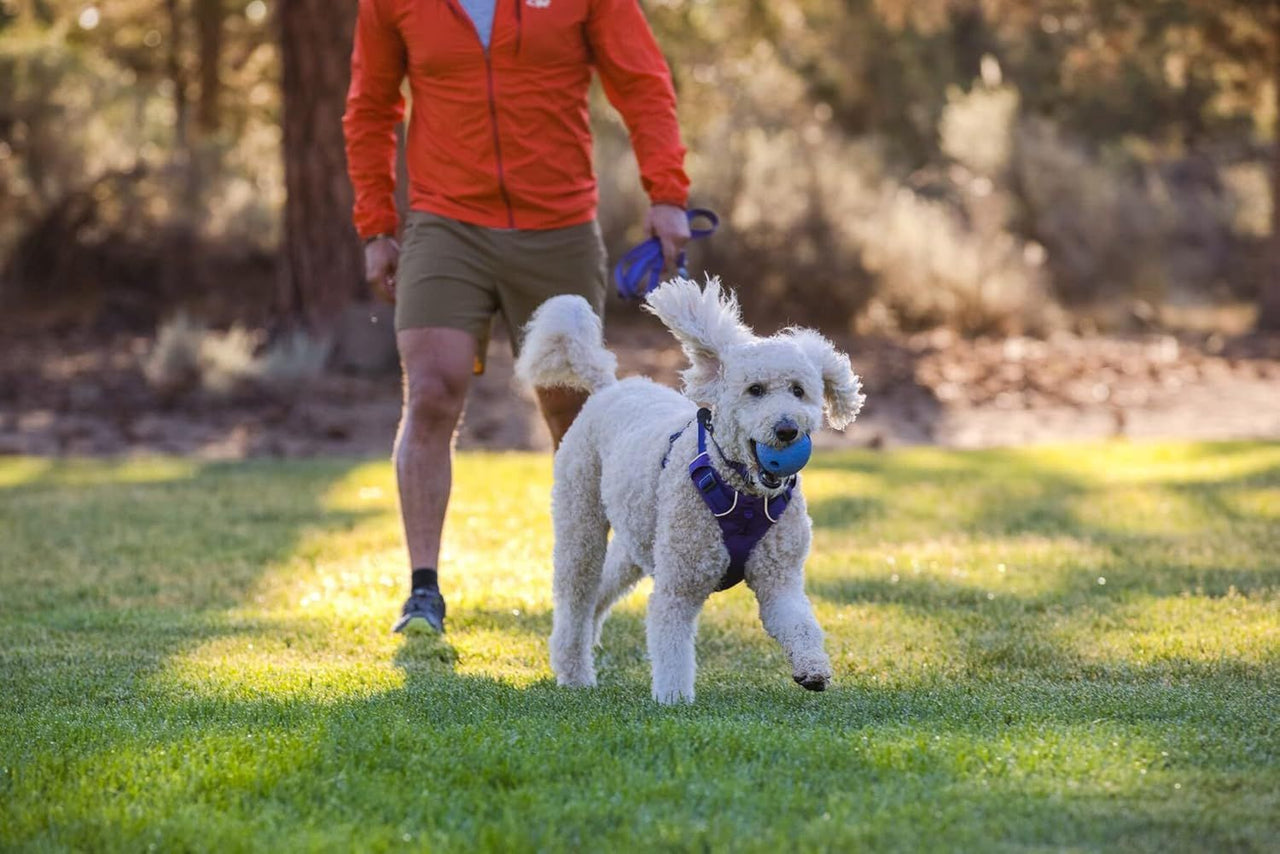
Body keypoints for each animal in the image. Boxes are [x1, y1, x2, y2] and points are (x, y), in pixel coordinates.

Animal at [514, 277, 865, 706]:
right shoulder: (678, 585)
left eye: (799, 390)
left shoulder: (779, 578)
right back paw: (574, 671)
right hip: (580, 520)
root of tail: (608, 387)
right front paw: (674, 700)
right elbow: (671, 645)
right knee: (575, 597)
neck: (743, 495)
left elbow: (799, 623)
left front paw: (812, 668)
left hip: (639, 540)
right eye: (755, 389)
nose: (787, 429)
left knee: (603, 587)